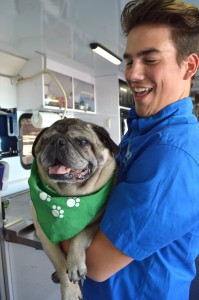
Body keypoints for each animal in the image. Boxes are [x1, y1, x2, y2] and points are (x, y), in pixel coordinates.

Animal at [28, 118, 119, 300]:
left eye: (82, 142)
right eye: (46, 141)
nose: (57, 141)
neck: (69, 197)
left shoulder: (96, 223)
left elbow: (79, 236)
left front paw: (75, 263)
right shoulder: (46, 237)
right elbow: (60, 264)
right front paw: (70, 291)